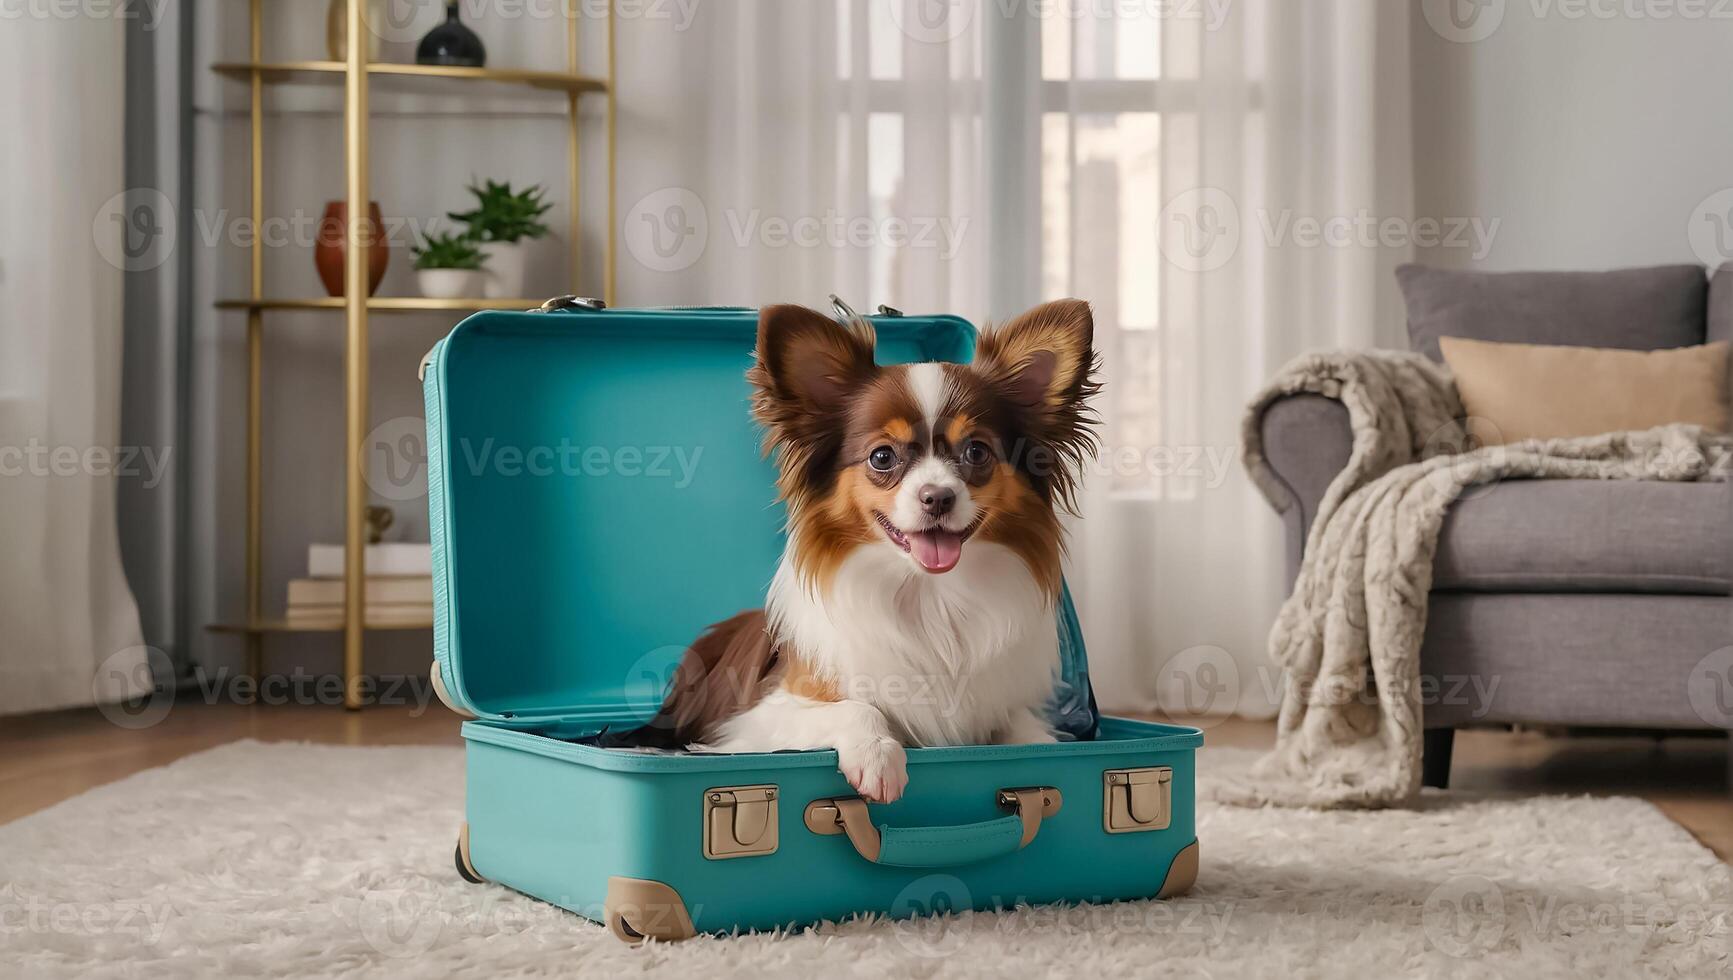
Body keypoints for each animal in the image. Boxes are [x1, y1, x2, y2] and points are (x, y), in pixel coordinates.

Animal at [634, 300, 1095, 801]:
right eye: (882, 457)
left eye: (977, 452)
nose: (938, 497)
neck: (929, 594)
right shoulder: (755, 720)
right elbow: (857, 707)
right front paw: (877, 756)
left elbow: (1026, 729)